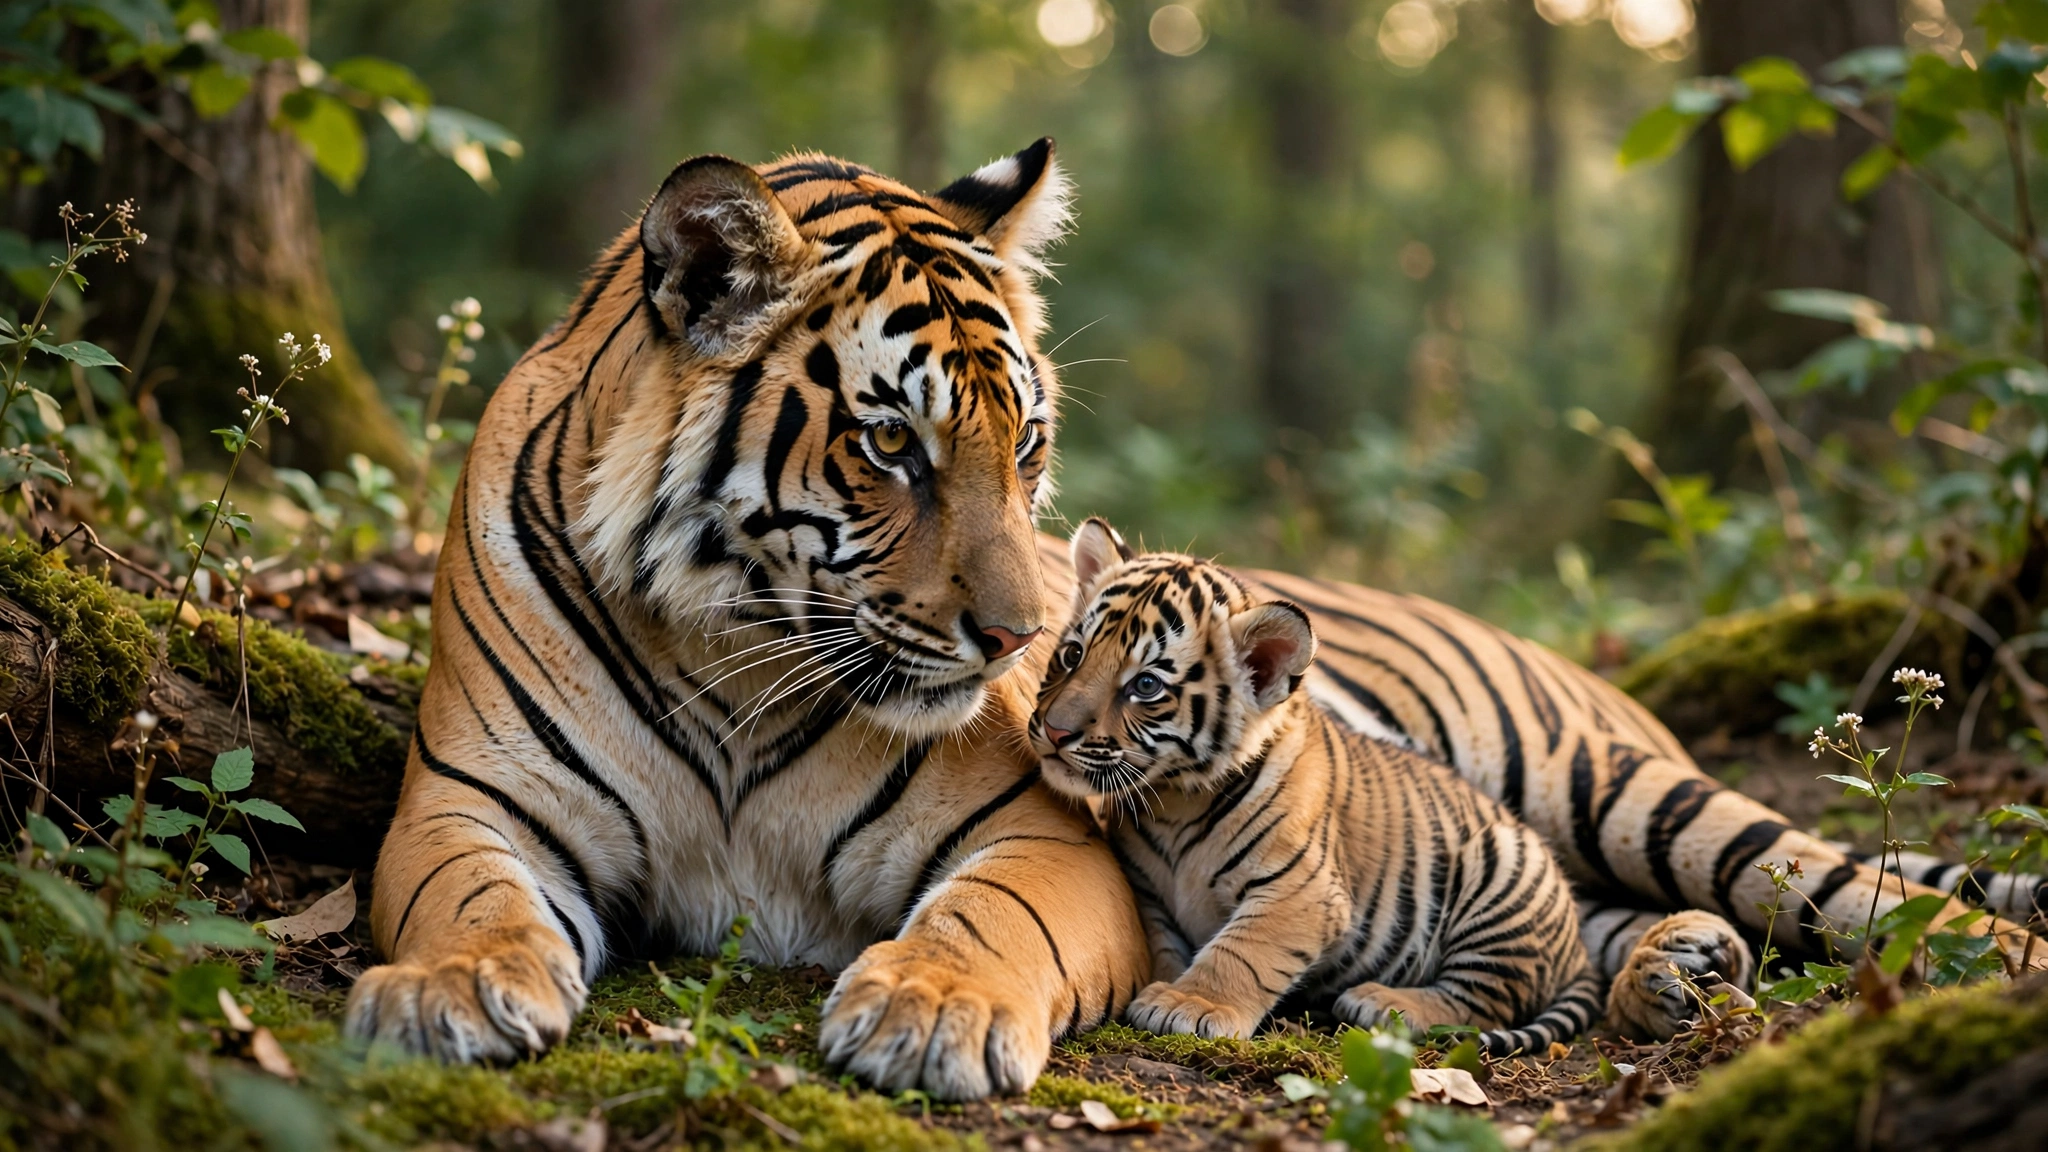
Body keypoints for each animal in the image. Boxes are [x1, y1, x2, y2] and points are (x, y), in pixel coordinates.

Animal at [1033, 522, 1609, 1055]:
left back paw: (1386, 1003)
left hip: (1502, 882)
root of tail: (1580, 951)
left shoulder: (1301, 890)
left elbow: (1242, 950)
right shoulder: (1150, 892)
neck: (1174, 799)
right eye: (1072, 654)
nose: (1055, 731)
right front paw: (1167, 984)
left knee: (1482, 1000)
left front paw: (1190, 1004)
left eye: (1146, 685)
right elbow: (1163, 944)